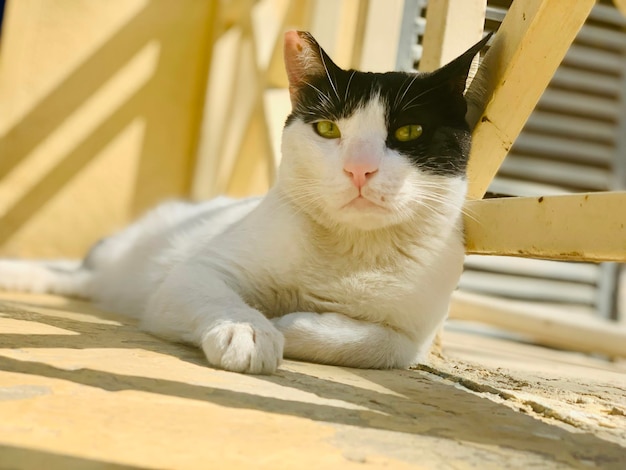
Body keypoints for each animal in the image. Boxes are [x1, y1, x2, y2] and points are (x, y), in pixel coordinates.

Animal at [0, 30, 488, 374]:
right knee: (73, 274)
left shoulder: (416, 333)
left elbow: (382, 343)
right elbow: (220, 295)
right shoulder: (195, 273)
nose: (359, 169)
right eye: (328, 129)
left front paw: (291, 324)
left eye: (408, 131)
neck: (349, 251)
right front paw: (249, 329)